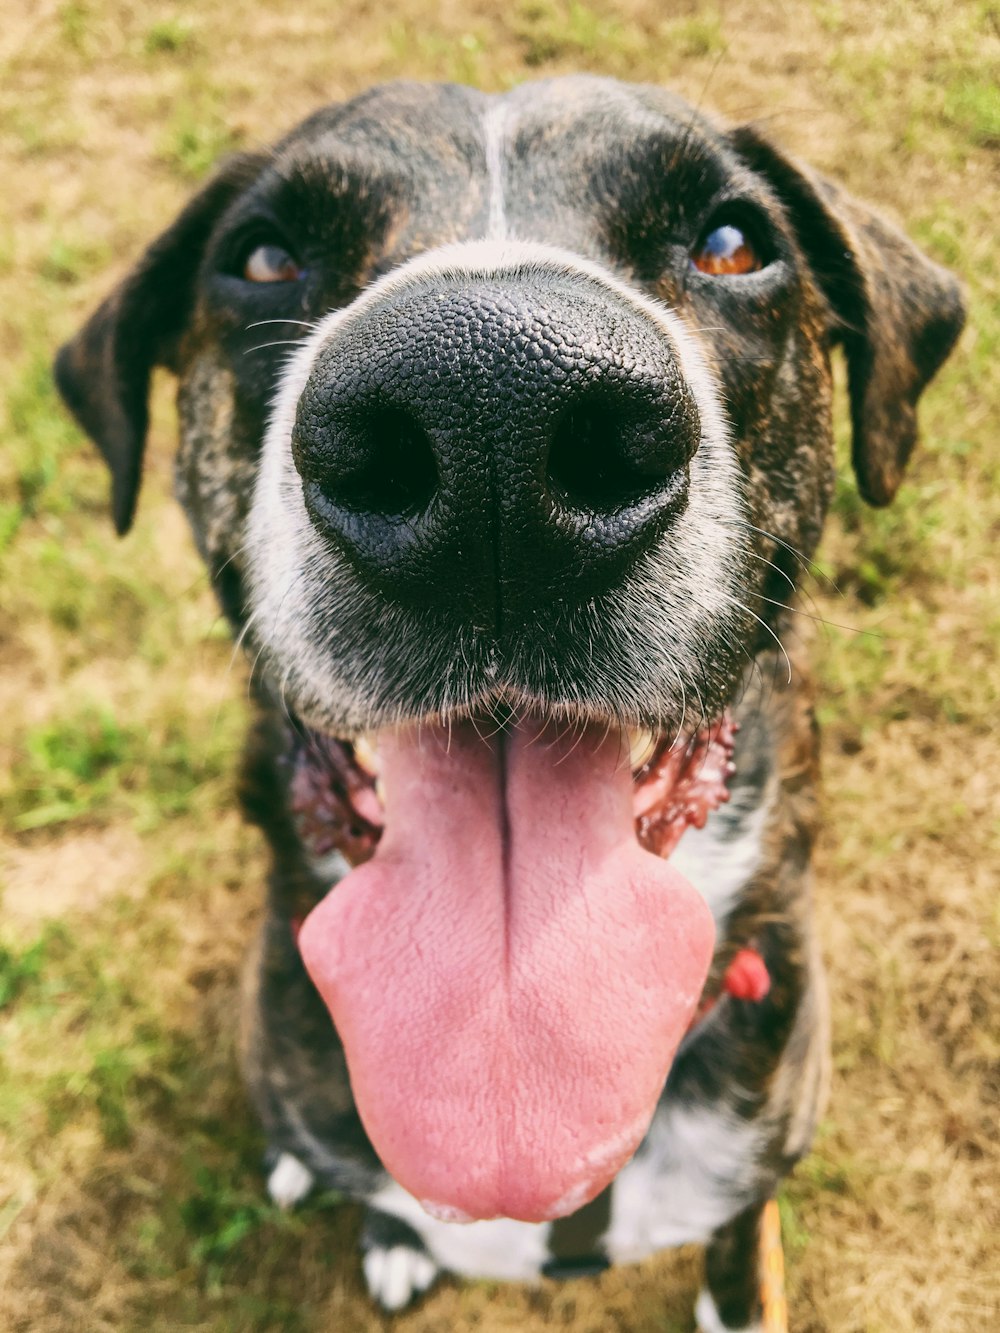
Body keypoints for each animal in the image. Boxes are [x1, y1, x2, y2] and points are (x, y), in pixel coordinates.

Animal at [54, 75, 965, 1333]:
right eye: (266, 256)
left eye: (733, 244)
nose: (489, 400)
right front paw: (390, 1237)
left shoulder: (748, 1178)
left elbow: (740, 1261)